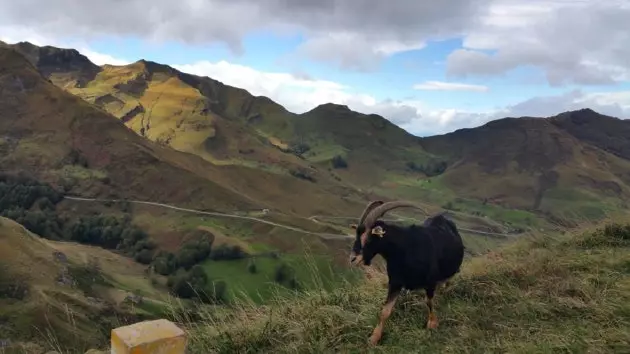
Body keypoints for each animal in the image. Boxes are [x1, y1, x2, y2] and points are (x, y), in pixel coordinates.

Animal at [348, 202, 466, 346]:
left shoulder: (430, 281)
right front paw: (374, 338)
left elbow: (428, 302)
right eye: (357, 235)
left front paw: (432, 323)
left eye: (368, 238)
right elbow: (385, 310)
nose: (353, 259)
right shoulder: (395, 282)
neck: (404, 250)